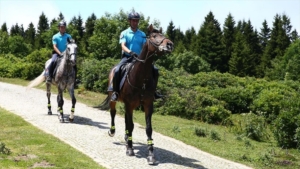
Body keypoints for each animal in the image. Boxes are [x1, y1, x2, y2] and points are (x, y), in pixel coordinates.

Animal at [98, 24, 173, 164]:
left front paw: (151, 155)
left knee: (126, 120)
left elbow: (148, 128)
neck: (141, 78)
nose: (170, 44)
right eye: (154, 36)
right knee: (113, 113)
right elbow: (131, 125)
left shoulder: (148, 105)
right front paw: (130, 149)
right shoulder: (129, 104)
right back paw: (113, 131)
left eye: (163, 35)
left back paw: (127, 137)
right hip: (113, 99)